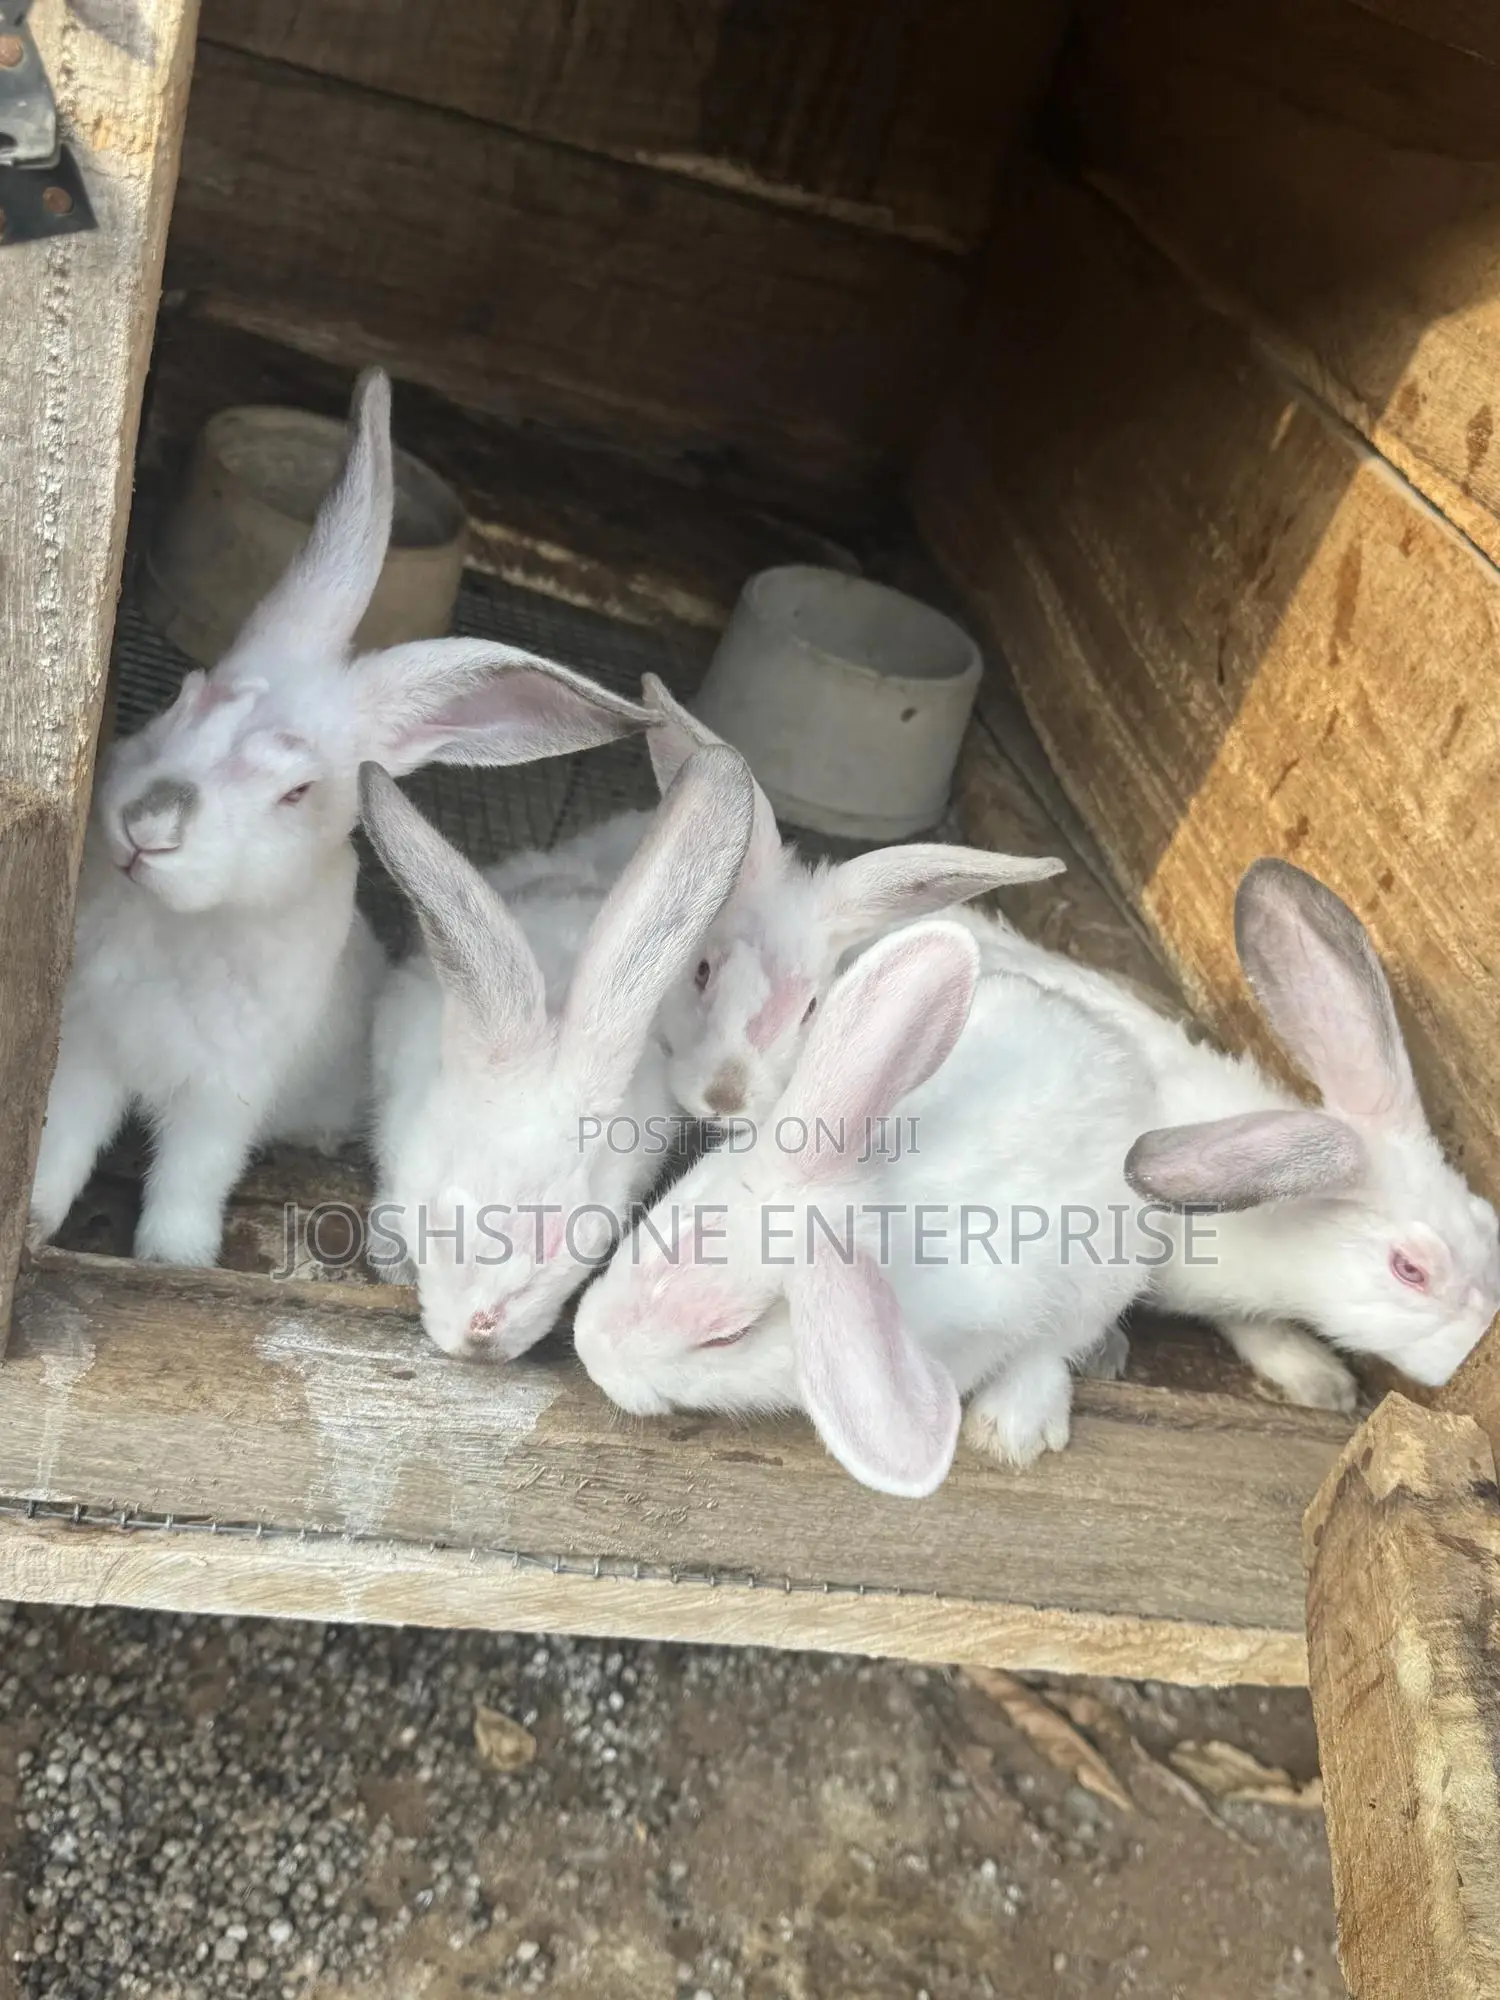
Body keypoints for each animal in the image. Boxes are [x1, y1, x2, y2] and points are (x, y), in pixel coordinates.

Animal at [28, 368, 651, 1270]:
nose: (150, 825)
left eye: (297, 793)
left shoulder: (224, 1095)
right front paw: (32, 1223)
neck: (184, 930)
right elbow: (63, 1142)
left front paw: (175, 1261)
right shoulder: (89, 1050)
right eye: (184, 696)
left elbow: (191, 1179)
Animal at [574, 918, 1158, 1496]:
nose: (588, 1349)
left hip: (1104, 1281)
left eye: (729, 1337)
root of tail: (1121, 1066)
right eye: (668, 1215)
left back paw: (1010, 1428)